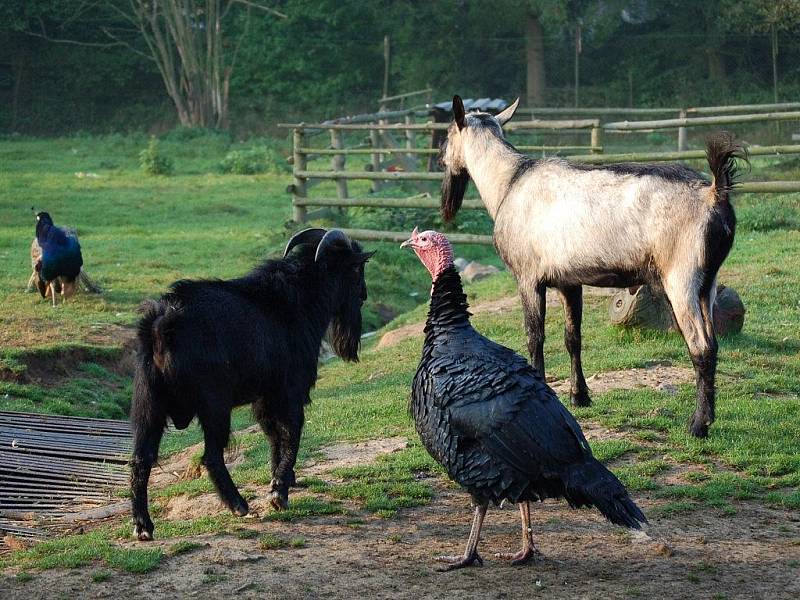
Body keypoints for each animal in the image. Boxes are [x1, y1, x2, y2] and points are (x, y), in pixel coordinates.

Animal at [130, 229, 374, 540]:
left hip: (149, 404)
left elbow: (274, 435)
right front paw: (279, 492)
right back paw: (238, 505)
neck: (296, 302)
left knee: (141, 459)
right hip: (214, 404)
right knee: (211, 456)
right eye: (356, 269)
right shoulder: (289, 390)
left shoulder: (264, 397)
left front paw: (283, 479)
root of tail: (162, 326)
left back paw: (143, 526)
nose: (364, 295)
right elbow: (292, 432)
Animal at [440, 94, 748, 436]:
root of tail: (713, 193)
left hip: (681, 278)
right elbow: (572, 337)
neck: (510, 182)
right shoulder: (569, 282)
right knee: (713, 342)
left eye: (447, 136)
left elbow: (535, 336)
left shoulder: (528, 278)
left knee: (701, 346)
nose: (442, 162)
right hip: (707, 281)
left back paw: (698, 424)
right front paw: (580, 396)